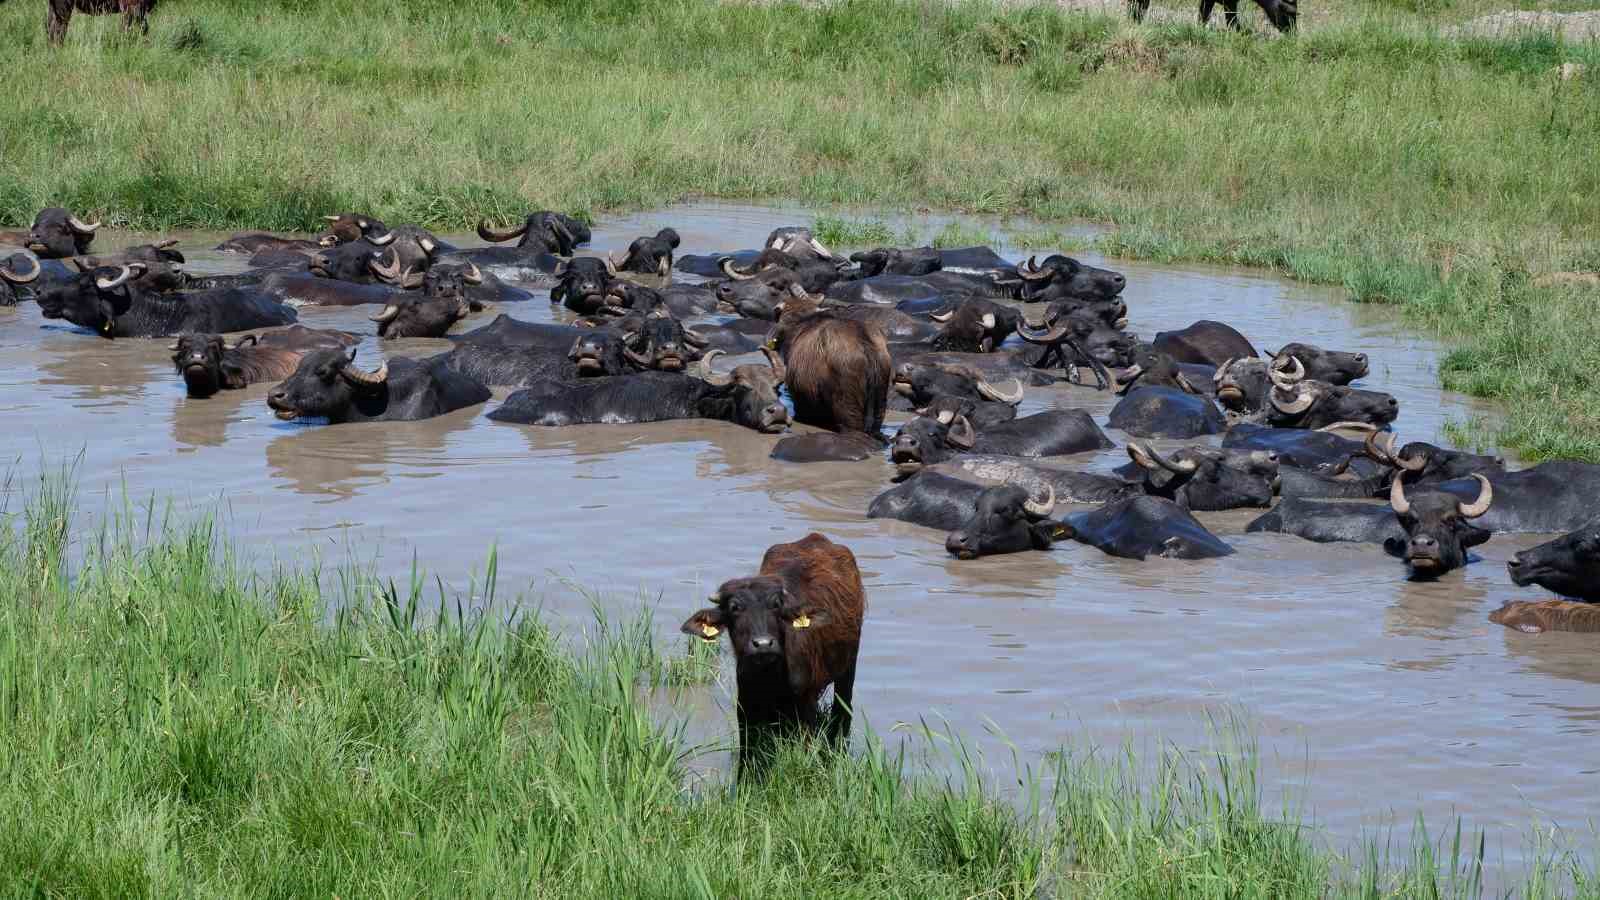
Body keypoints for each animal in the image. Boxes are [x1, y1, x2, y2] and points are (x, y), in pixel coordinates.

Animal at [681, 531, 870, 771]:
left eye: (776, 605)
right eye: (734, 608)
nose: (763, 644)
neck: (770, 676)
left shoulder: (805, 708)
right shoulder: (746, 710)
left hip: (848, 670)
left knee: (842, 712)